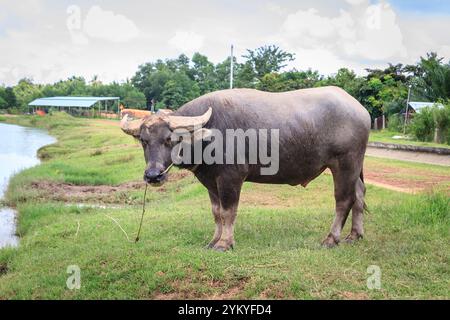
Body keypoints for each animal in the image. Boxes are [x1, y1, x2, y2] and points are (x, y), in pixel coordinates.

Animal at [121, 86, 370, 251]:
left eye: (170, 139)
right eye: (143, 140)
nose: (153, 176)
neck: (209, 135)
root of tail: (361, 110)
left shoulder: (231, 178)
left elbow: (229, 211)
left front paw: (224, 243)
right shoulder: (210, 181)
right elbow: (216, 212)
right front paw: (213, 240)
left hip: (345, 164)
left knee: (344, 200)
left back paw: (331, 238)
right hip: (355, 168)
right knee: (359, 194)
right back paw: (355, 235)